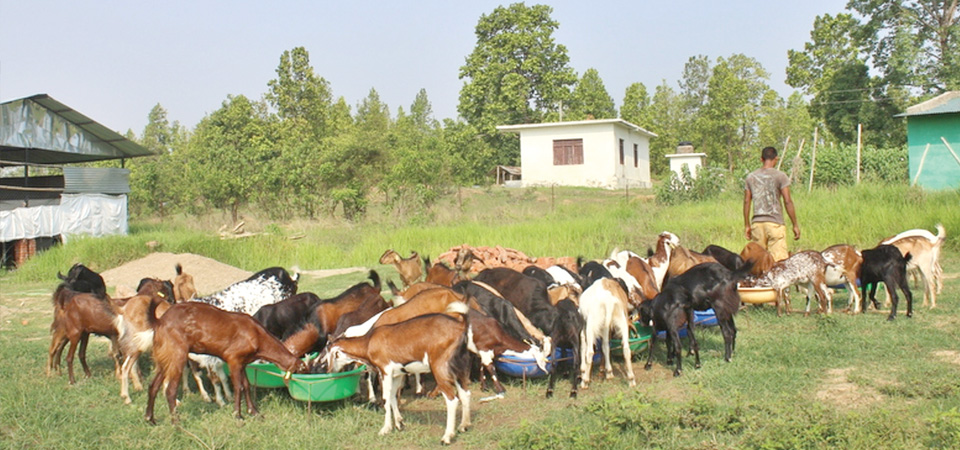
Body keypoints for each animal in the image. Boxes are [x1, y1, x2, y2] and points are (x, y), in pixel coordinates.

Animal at [144, 300, 308, 424]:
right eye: (305, 370)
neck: (258, 336)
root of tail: (159, 321)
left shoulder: (242, 362)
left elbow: (246, 385)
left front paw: (254, 412)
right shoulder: (233, 358)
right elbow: (238, 387)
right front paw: (238, 416)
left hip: (165, 356)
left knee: (153, 385)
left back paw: (150, 419)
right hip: (177, 354)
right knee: (170, 390)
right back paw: (176, 422)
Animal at [318, 312, 476, 444]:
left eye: (329, 352)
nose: (328, 370)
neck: (368, 343)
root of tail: (460, 327)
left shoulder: (385, 370)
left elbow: (386, 397)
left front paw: (385, 429)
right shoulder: (398, 373)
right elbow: (393, 396)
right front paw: (399, 423)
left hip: (440, 368)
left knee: (452, 399)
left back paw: (447, 437)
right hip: (459, 369)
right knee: (465, 394)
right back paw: (463, 426)